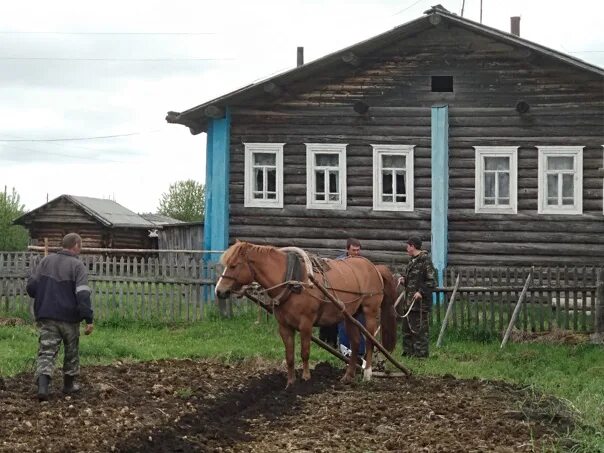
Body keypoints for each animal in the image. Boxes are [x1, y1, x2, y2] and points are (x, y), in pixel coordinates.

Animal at [215, 240, 398, 384]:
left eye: (234, 265)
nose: (219, 291)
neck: (292, 280)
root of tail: (374, 267)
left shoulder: (306, 324)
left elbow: (304, 353)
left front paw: (306, 378)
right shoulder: (284, 326)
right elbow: (289, 356)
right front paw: (290, 383)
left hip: (370, 311)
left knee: (369, 341)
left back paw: (367, 373)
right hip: (350, 315)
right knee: (354, 342)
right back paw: (348, 376)